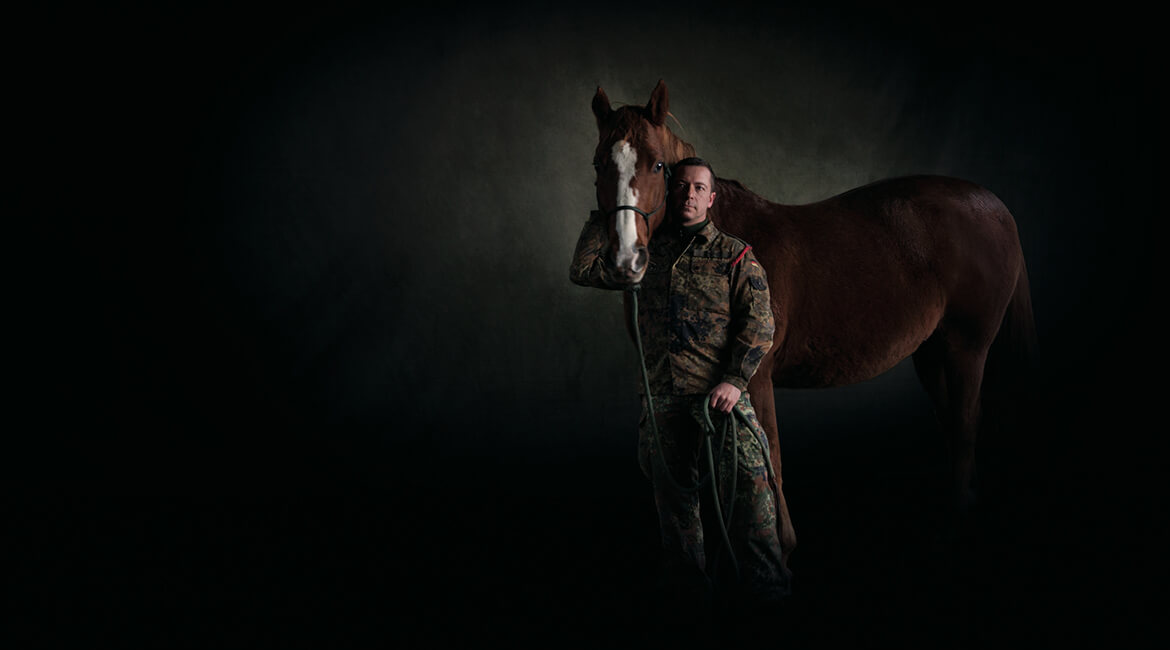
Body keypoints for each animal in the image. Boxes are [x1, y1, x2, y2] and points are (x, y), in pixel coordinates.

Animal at [589, 78, 1038, 570]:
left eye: (657, 164)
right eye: (598, 163)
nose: (625, 260)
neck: (706, 235)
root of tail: (995, 206)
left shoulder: (752, 379)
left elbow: (770, 460)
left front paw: (779, 548)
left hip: (967, 349)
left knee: (966, 420)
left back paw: (956, 522)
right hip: (932, 355)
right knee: (953, 423)